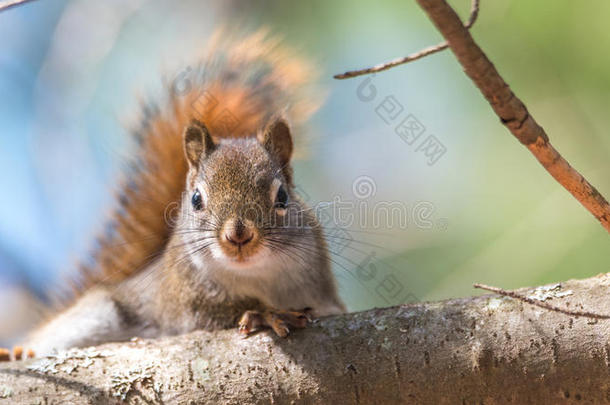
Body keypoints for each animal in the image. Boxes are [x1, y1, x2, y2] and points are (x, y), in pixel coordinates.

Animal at [0, 30, 342, 362]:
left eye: (282, 196)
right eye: (196, 199)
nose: (239, 236)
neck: (255, 275)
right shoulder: (183, 298)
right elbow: (215, 313)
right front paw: (265, 313)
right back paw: (18, 352)